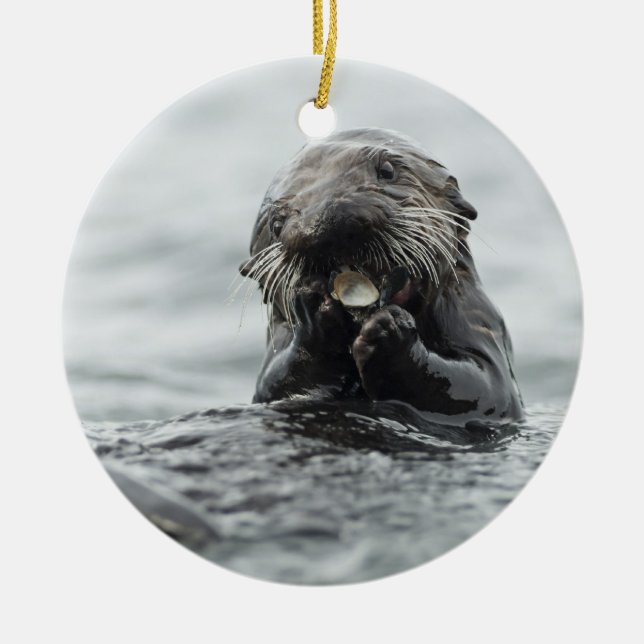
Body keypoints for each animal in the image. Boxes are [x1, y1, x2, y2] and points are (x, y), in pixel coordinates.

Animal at [239, 128, 523, 421]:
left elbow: (485, 387)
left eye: (387, 170)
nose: (325, 222)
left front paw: (390, 330)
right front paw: (315, 314)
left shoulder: (476, 318)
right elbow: (276, 385)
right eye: (276, 224)